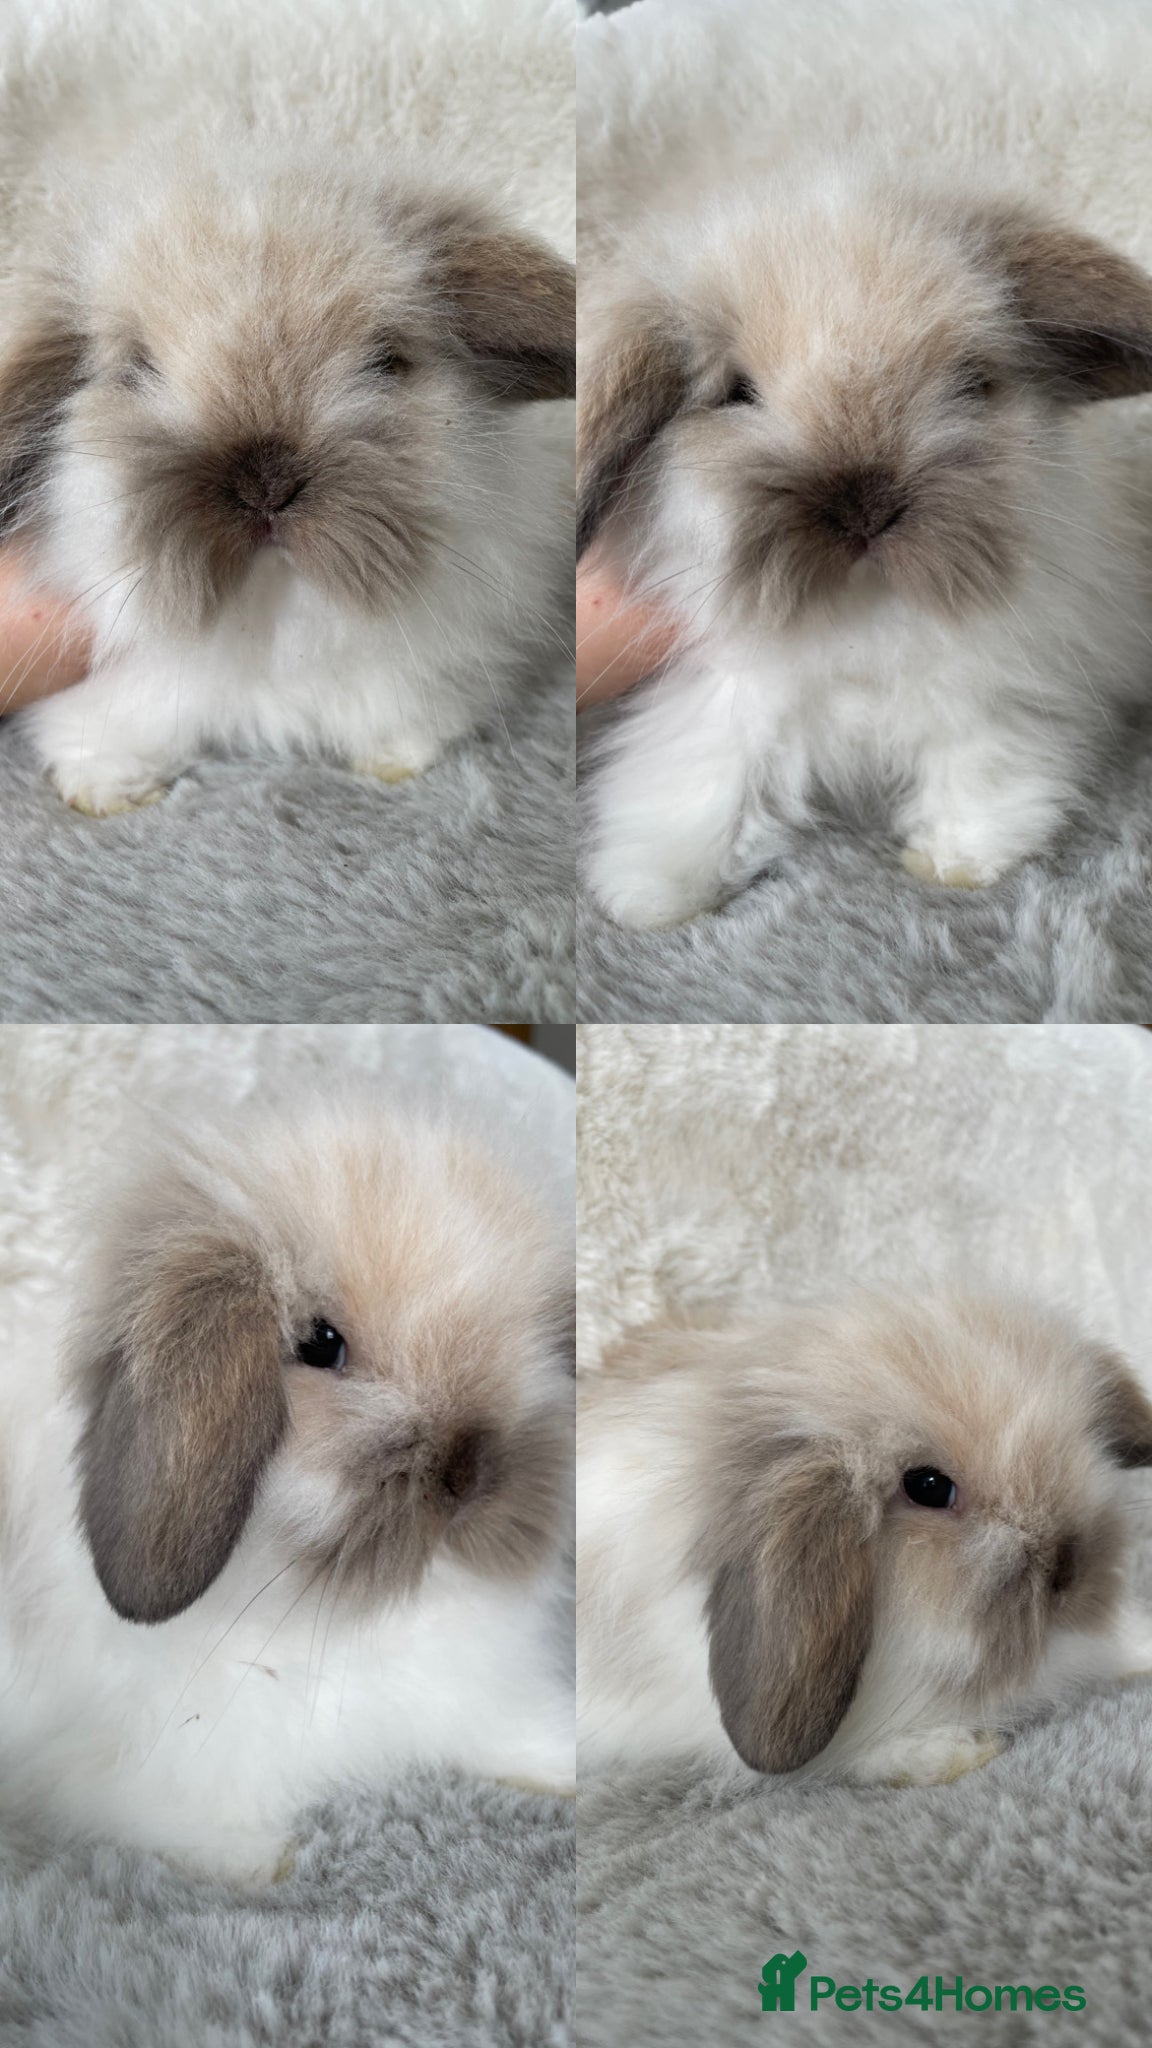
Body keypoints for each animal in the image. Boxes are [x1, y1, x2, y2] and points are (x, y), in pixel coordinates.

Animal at [0, 134, 574, 815]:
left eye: (388, 361)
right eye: (135, 369)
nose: (266, 486)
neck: (275, 610)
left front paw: (395, 761)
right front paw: (109, 792)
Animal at [577, 161, 1152, 927]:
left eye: (973, 383)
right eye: (737, 392)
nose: (867, 506)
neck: (862, 608)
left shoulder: (993, 692)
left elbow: (981, 767)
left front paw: (959, 860)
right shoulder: (727, 701)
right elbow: (705, 783)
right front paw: (650, 895)